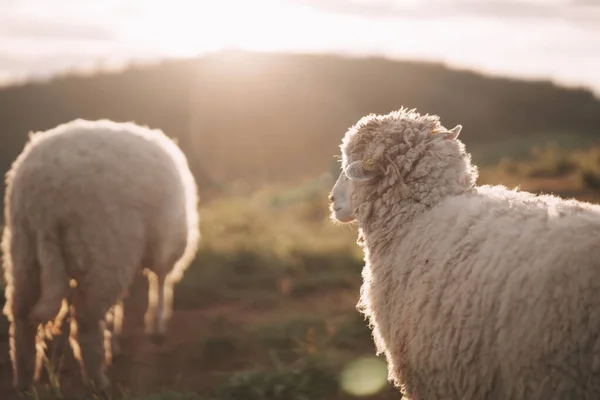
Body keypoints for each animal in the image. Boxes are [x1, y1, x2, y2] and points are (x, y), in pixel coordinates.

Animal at [1, 119, 202, 394]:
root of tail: (45, 195)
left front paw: (115, 341)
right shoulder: (164, 243)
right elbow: (160, 281)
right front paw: (156, 327)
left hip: (25, 251)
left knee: (21, 319)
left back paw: (24, 381)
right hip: (106, 248)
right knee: (85, 323)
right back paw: (98, 380)